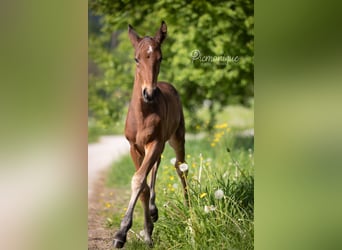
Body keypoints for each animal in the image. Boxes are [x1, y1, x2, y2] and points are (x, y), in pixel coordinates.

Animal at [112, 20, 187, 248]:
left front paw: (121, 233)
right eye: (136, 59)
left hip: (176, 138)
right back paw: (153, 212)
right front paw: (146, 232)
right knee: (155, 168)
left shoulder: (154, 142)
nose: (149, 93)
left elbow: (138, 180)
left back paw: (190, 209)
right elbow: (143, 185)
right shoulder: (134, 147)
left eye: (160, 58)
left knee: (181, 168)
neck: (142, 114)